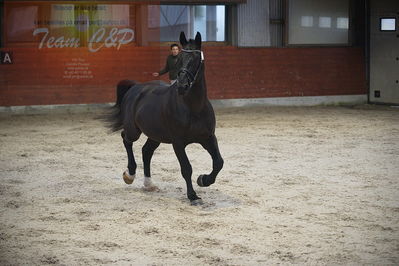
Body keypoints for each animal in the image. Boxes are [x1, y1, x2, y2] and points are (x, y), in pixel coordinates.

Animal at [105, 31, 225, 206]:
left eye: (195, 59)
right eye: (179, 58)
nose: (182, 86)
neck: (193, 108)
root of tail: (135, 87)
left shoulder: (208, 138)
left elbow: (218, 162)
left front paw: (203, 180)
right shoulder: (178, 143)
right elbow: (186, 168)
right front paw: (192, 195)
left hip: (156, 135)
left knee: (146, 151)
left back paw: (148, 183)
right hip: (134, 131)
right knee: (126, 139)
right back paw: (130, 174)